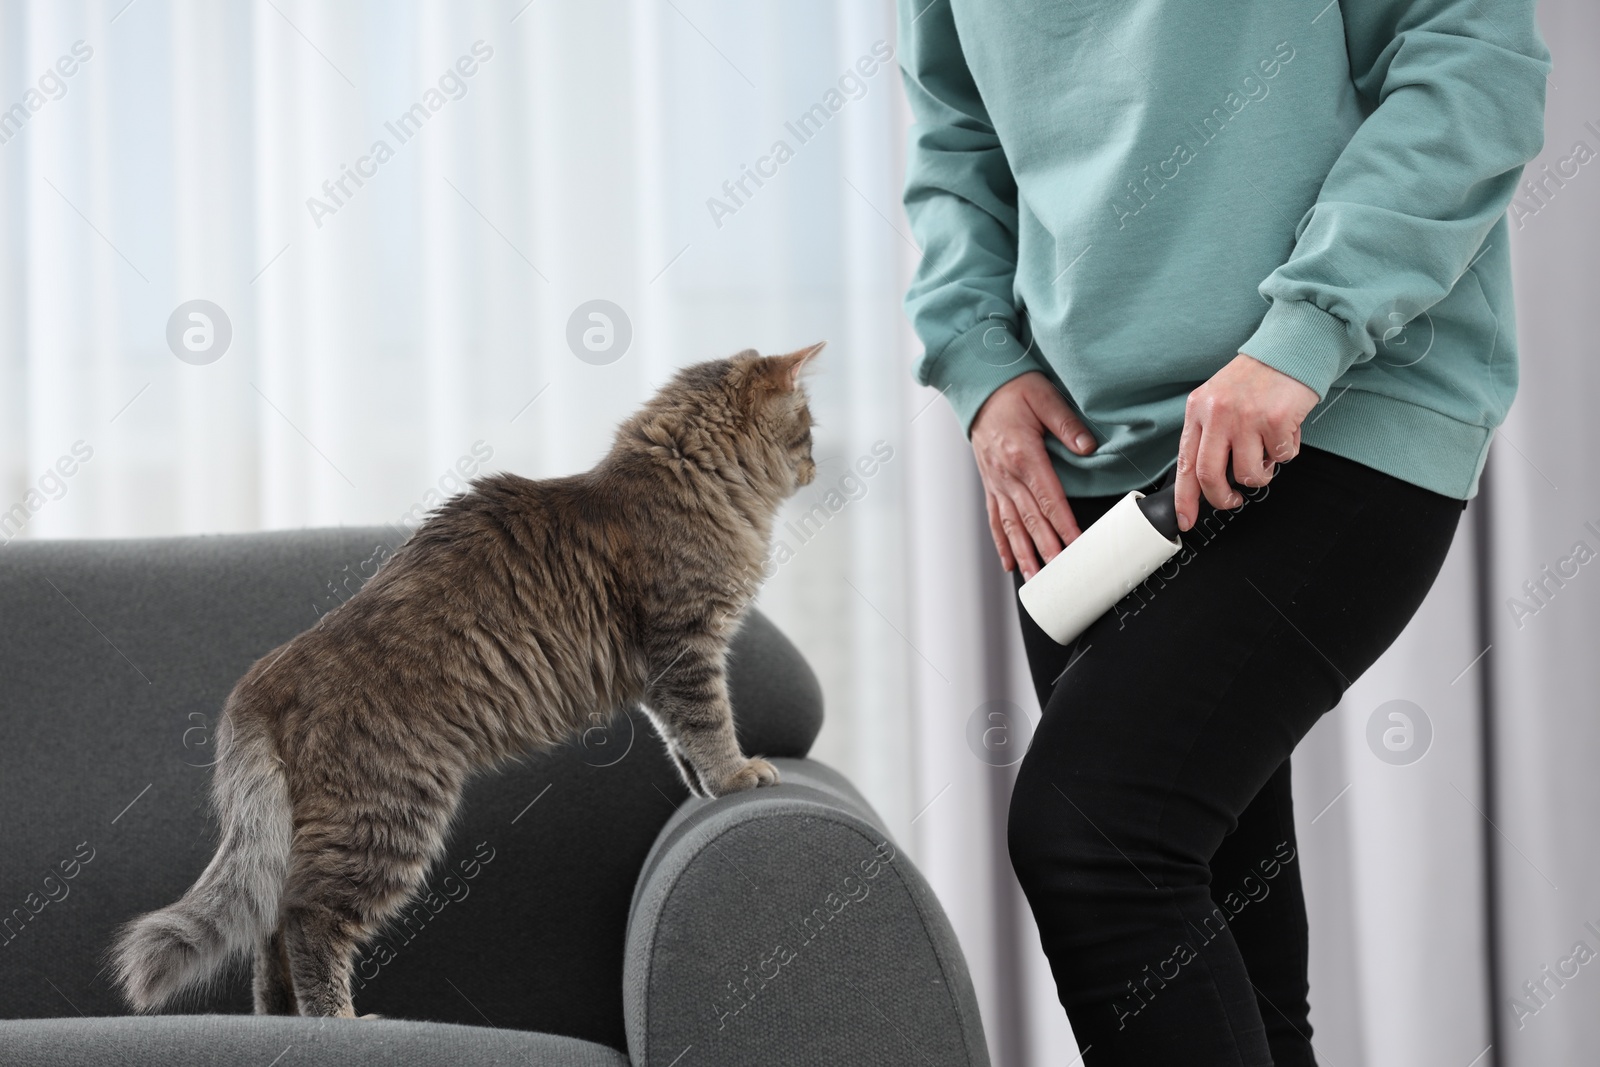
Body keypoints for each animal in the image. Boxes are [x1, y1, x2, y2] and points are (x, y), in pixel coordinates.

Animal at [109, 347, 825, 1023]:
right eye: (810, 429)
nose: (818, 467)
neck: (688, 478)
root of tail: (266, 676)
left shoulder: (661, 671)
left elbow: (682, 743)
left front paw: (706, 789)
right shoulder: (686, 646)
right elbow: (710, 725)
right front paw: (736, 777)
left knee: (269, 928)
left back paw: (285, 1022)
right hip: (387, 818)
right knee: (306, 922)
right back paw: (342, 1021)